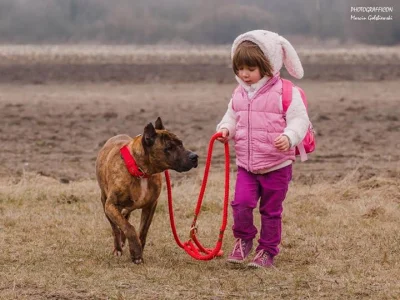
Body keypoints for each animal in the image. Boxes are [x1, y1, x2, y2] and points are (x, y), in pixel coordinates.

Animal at [95, 118, 198, 264]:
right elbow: (129, 228)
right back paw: (118, 248)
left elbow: (142, 231)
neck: (141, 171)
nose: (195, 156)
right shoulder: (111, 205)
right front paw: (136, 252)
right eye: (169, 147)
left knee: (124, 218)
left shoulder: (151, 205)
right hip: (105, 203)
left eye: (181, 143)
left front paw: (138, 250)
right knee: (116, 228)